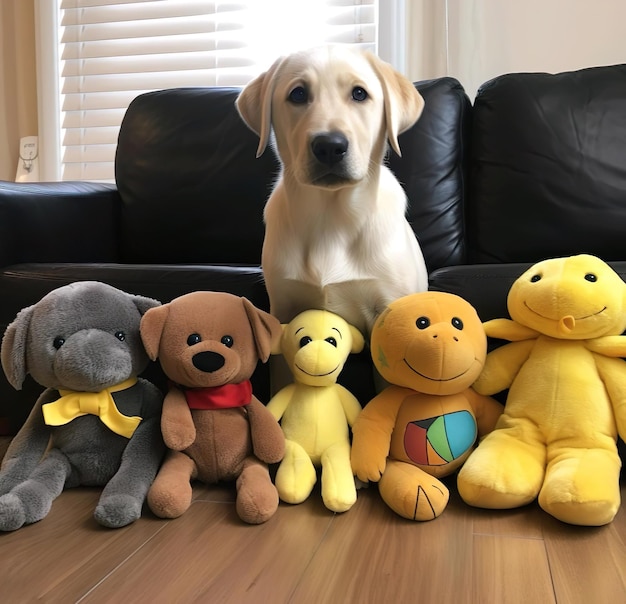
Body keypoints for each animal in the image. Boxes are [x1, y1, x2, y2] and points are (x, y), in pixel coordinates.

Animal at [236, 46, 426, 340]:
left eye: (359, 93)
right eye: (298, 94)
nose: (329, 147)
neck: (331, 215)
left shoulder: (388, 302)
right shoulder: (283, 306)